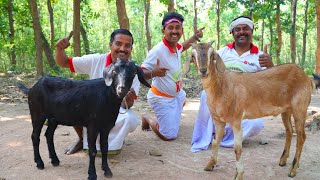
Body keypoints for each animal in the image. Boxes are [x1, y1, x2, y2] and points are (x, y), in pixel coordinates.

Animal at [17, 58, 151, 179]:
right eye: (114, 71)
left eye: (133, 73)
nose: (121, 89)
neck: (106, 97)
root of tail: (32, 88)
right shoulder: (92, 126)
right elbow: (93, 150)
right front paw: (92, 174)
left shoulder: (106, 126)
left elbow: (105, 148)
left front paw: (107, 170)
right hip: (37, 113)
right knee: (35, 136)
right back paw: (39, 163)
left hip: (53, 118)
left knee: (48, 135)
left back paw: (55, 160)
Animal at [190, 41, 312, 179]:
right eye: (193, 56)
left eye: (212, 55)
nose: (203, 71)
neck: (221, 86)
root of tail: (306, 77)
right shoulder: (218, 120)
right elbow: (216, 142)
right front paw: (210, 165)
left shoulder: (236, 119)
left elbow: (237, 148)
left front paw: (239, 174)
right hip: (286, 110)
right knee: (289, 131)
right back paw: (283, 160)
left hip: (300, 108)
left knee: (301, 137)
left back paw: (293, 169)